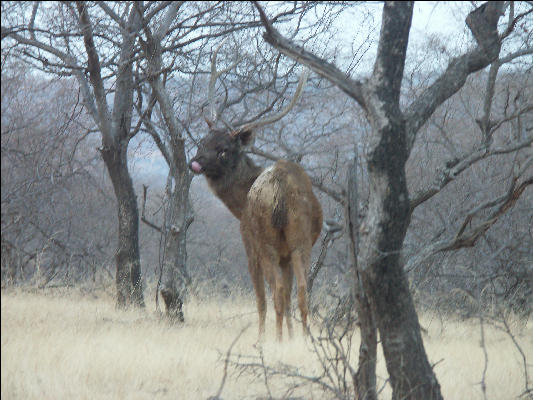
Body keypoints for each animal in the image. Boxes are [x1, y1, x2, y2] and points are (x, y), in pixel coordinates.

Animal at [189, 45, 322, 342]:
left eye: (224, 150)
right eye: (202, 141)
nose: (195, 162)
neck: (238, 205)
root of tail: (281, 190)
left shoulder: (248, 242)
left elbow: (261, 298)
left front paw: (263, 338)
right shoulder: (286, 253)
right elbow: (289, 293)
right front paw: (291, 337)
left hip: (265, 239)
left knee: (276, 293)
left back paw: (272, 339)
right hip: (300, 238)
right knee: (301, 291)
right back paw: (305, 338)